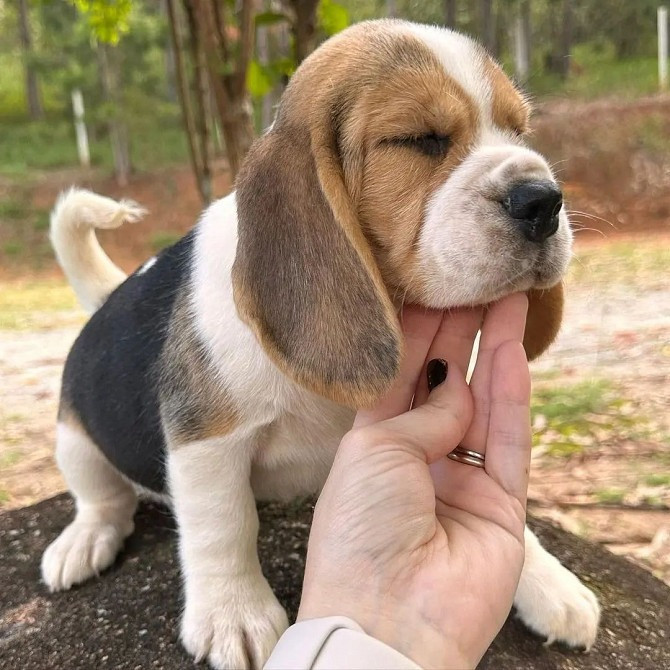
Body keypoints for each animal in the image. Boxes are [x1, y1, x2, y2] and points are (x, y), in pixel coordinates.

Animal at [42, 19, 600, 670]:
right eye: (419, 140)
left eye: (520, 131)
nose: (544, 200)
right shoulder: (206, 437)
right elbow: (222, 524)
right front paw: (232, 613)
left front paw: (546, 580)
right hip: (74, 439)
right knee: (102, 499)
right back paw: (84, 540)